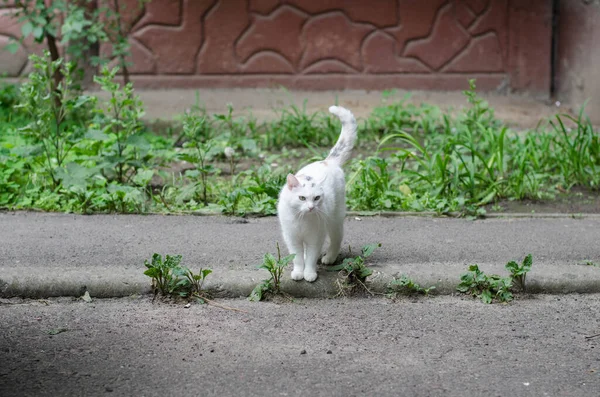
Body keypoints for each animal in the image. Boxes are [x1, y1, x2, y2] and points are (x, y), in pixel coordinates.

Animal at [276, 105, 356, 282]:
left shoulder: (315, 238)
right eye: (302, 198)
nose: (311, 207)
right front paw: (298, 272)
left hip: (334, 221)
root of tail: (327, 161)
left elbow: (312, 257)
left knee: (336, 239)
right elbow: (297, 258)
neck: (302, 220)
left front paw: (309, 273)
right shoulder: (292, 238)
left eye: (317, 198)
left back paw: (330, 257)